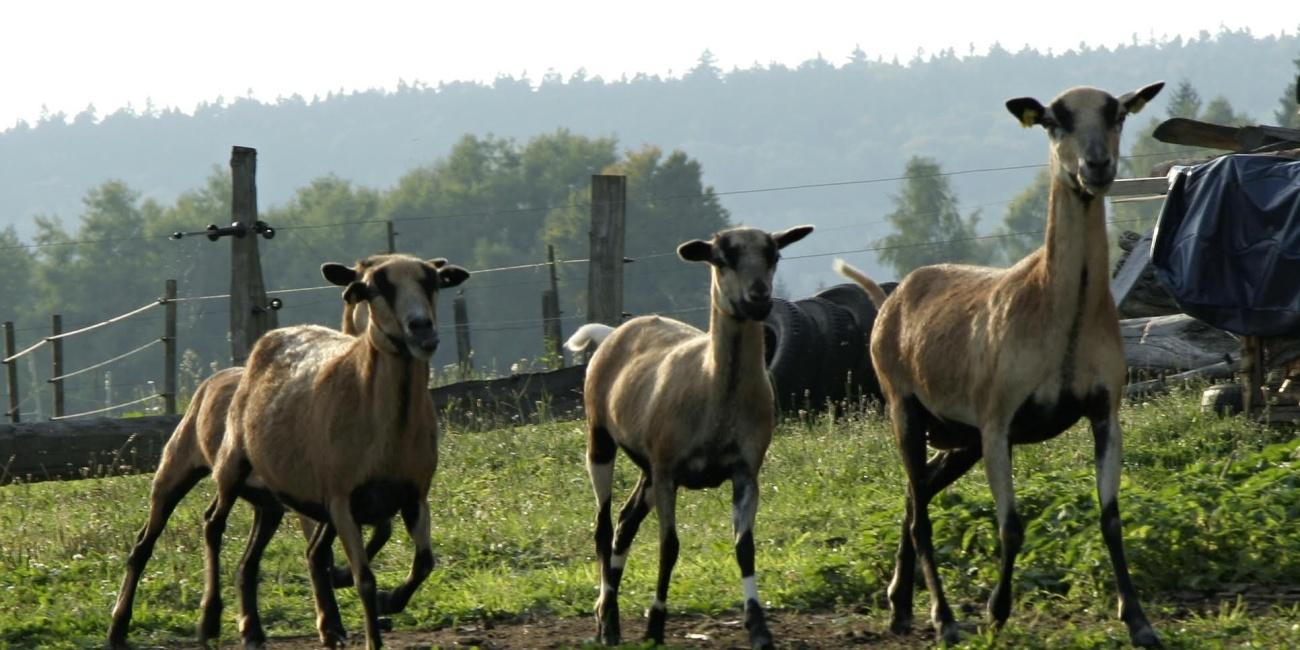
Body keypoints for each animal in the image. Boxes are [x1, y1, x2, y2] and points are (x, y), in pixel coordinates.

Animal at [202, 254, 467, 650]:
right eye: (374, 289)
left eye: (432, 282)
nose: (422, 329)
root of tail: (274, 335)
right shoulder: (343, 500)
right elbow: (365, 579)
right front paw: (374, 637)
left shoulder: (414, 495)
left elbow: (424, 562)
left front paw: (391, 600)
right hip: (234, 461)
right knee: (213, 525)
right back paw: (210, 621)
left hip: (295, 496)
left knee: (289, 553)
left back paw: (272, 629)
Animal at [569, 224, 811, 650]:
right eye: (722, 258)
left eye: (774, 255)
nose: (759, 298)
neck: (714, 388)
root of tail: (614, 331)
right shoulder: (669, 472)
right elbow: (670, 547)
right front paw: (655, 625)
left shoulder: (745, 472)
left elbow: (745, 547)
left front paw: (759, 629)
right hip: (601, 440)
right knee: (602, 526)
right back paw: (607, 621)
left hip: (647, 467)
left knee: (624, 523)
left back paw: (608, 618)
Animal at [837, 82, 1164, 644]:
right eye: (1053, 121)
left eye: (1118, 113)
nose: (1096, 166)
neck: (1060, 319)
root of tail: (887, 303)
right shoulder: (998, 419)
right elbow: (1010, 524)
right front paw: (996, 611)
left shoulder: (1106, 411)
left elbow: (1111, 517)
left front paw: (1140, 622)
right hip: (904, 406)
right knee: (920, 513)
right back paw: (943, 619)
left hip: (957, 436)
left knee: (913, 496)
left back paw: (900, 606)